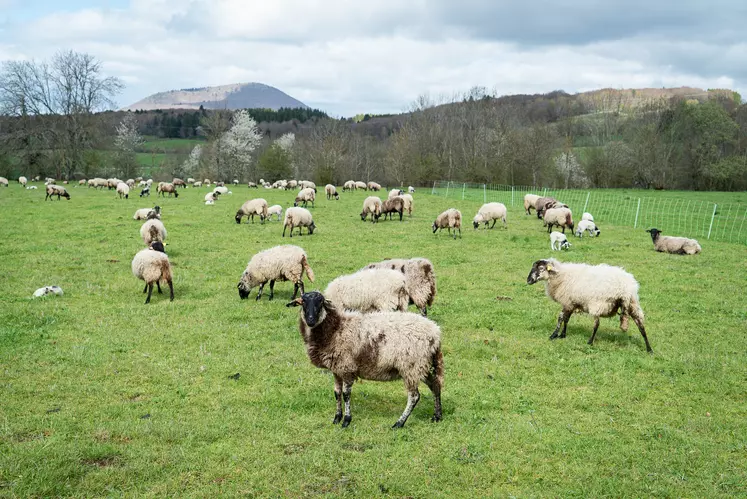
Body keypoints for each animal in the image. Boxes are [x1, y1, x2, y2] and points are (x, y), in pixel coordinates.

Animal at [284, 292, 442, 430]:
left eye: (321, 302)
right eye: (303, 302)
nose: (310, 320)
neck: (335, 328)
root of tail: (435, 332)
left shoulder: (347, 367)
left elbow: (346, 395)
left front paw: (346, 421)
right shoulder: (336, 369)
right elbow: (337, 393)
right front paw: (336, 418)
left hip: (411, 366)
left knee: (414, 396)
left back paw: (399, 423)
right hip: (422, 366)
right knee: (435, 385)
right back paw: (437, 416)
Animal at [524, 260, 656, 354]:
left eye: (541, 268)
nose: (528, 280)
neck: (560, 276)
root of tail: (625, 289)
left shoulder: (567, 302)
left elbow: (561, 317)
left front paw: (554, 335)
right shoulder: (572, 303)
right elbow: (566, 319)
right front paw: (562, 335)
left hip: (598, 303)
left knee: (596, 324)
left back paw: (590, 342)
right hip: (633, 304)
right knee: (641, 326)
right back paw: (649, 349)